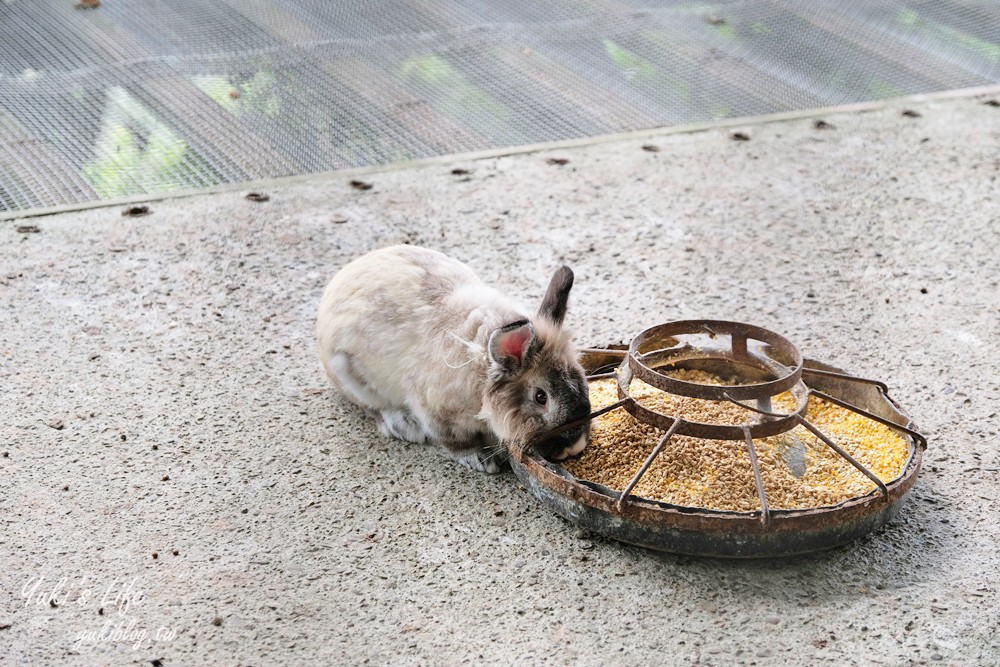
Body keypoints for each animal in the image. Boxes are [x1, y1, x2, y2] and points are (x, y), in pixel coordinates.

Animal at [316, 247, 588, 474]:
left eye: (581, 378)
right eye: (541, 397)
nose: (575, 447)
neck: (482, 374)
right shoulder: (435, 413)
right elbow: (454, 443)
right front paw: (481, 460)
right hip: (350, 376)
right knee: (373, 408)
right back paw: (406, 426)